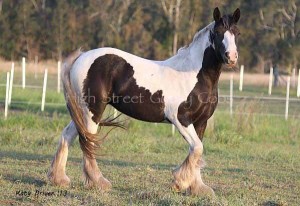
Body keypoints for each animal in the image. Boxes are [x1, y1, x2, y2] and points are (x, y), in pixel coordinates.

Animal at [48, 6, 240, 196]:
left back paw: (59, 179)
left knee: (69, 135)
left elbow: (197, 152)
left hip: (83, 111)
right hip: (93, 111)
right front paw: (180, 183)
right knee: (87, 142)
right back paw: (99, 182)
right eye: (218, 32)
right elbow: (198, 149)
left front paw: (198, 187)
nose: (231, 57)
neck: (194, 75)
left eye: (236, 32)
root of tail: (81, 57)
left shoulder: (201, 122)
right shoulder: (181, 119)